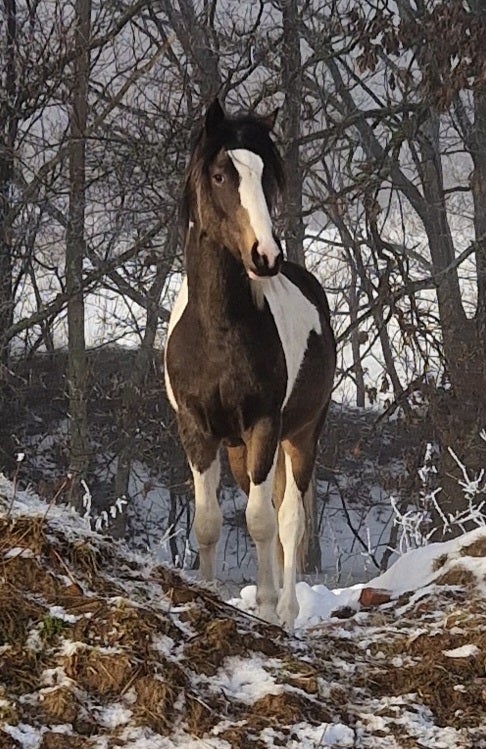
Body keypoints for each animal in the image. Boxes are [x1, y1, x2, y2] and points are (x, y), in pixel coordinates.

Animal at [163, 96, 334, 628]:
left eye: (268, 178)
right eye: (221, 174)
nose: (266, 256)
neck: (218, 332)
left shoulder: (264, 423)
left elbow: (261, 522)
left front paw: (264, 607)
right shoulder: (196, 428)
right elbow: (208, 522)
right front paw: (207, 592)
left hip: (300, 436)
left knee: (289, 519)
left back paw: (286, 611)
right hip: (240, 451)